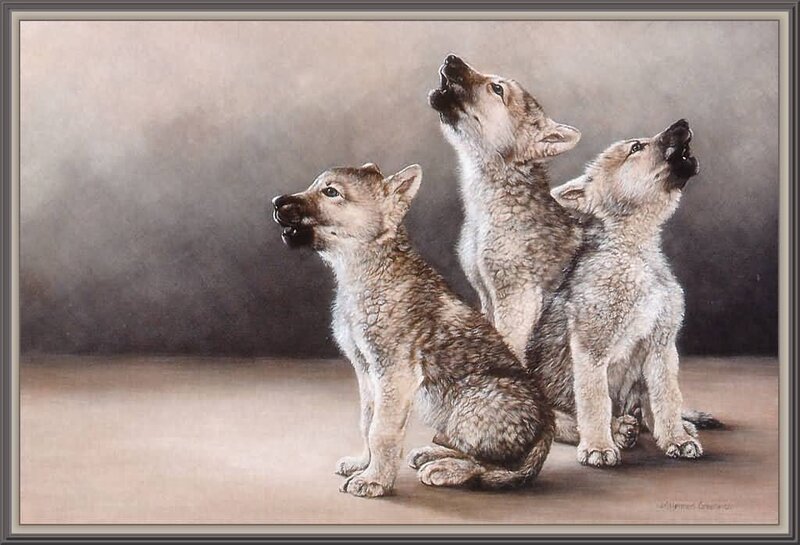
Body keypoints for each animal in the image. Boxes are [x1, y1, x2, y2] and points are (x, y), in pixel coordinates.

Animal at [272, 163, 554, 497]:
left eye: (331, 192)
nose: (276, 202)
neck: (368, 273)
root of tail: (547, 428)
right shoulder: (367, 372)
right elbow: (367, 422)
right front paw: (363, 463)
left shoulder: (395, 373)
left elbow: (382, 431)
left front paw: (375, 480)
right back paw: (435, 454)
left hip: (474, 402)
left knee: (494, 466)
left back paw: (448, 469)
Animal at [527, 119, 705, 466]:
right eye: (636, 147)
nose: (683, 123)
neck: (635, 252)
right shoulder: (591, 347)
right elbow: (594, 401)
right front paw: (598, 446)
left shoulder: (661, 347)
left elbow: (667, 398)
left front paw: (676, 438)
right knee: (564, 422)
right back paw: (619, 430)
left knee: (646, 410)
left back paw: (676, 426)